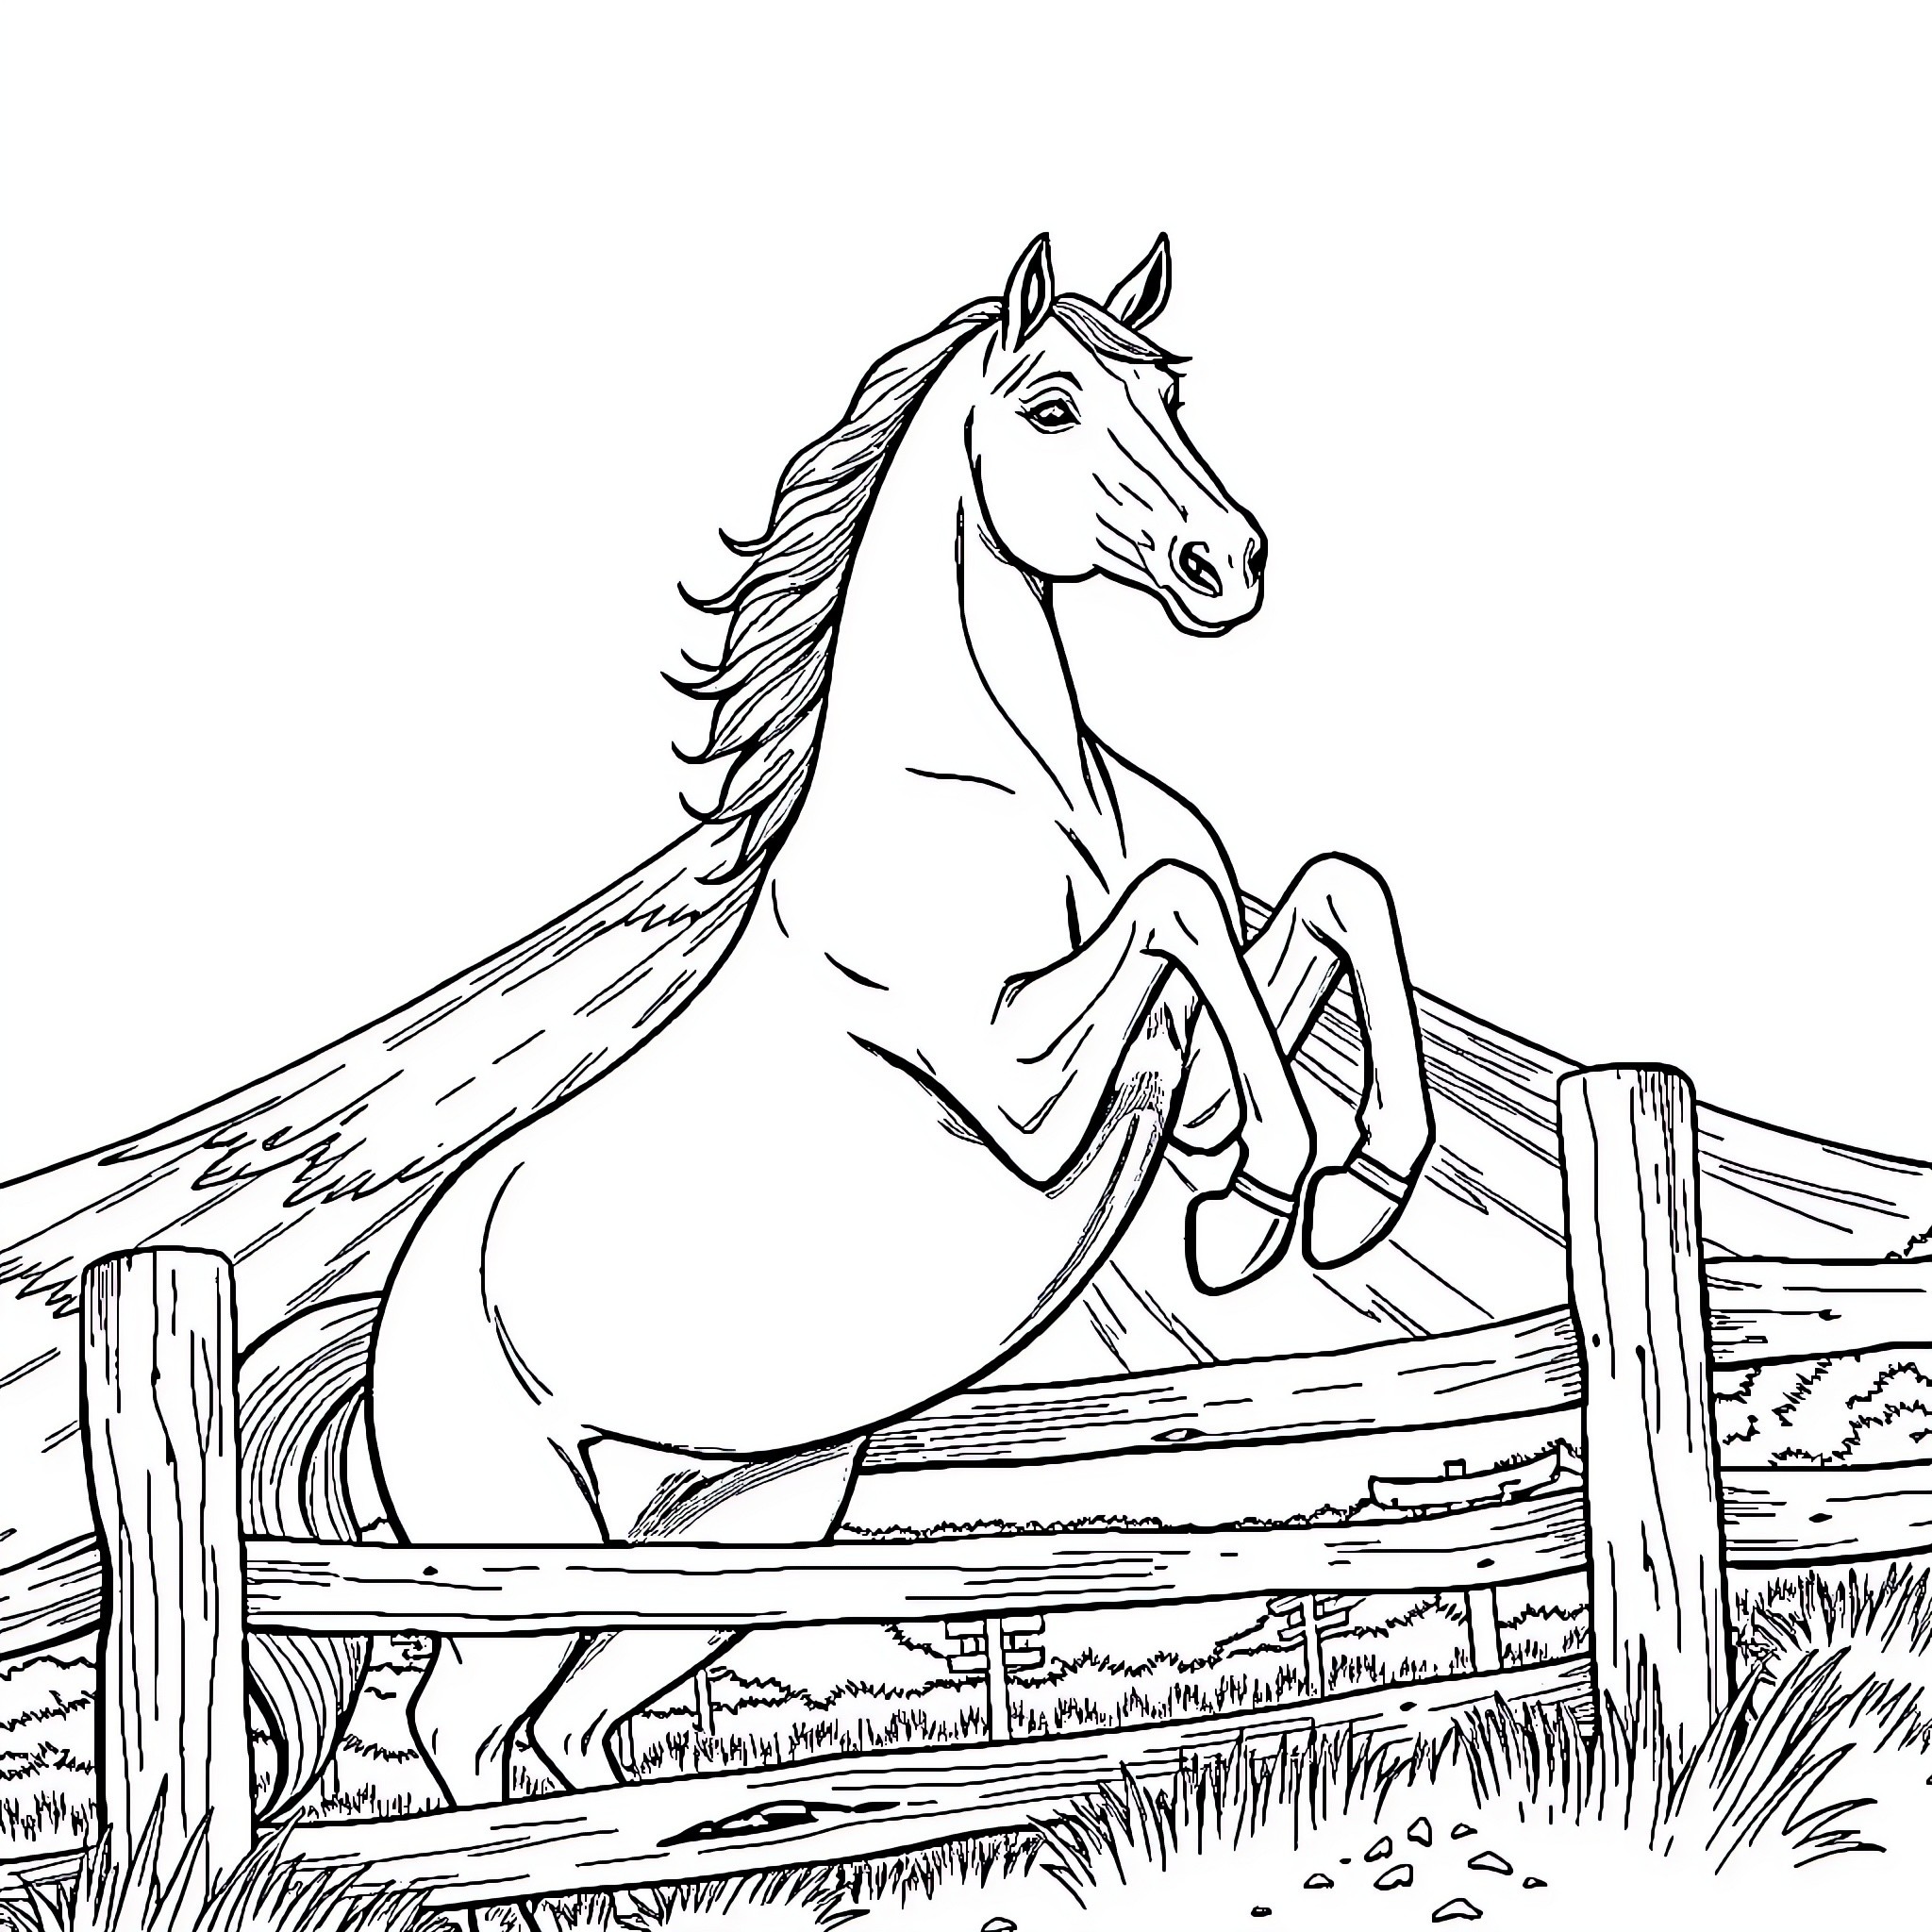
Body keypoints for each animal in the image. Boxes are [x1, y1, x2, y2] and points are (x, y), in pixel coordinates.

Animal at [349, 233, 1432, 1902]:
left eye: (1172, 395)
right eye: (1050, 407)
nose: (1228, 565)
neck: (1020, 798)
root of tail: (389, 1331)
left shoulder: (1166, 1040)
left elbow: (1328, 892)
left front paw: (1327, 1194)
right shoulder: (1022, 1091)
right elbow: (1191, 913)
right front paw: (1269, 1185)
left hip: (728, 1536)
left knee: (582, 1740)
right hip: (516, 1566)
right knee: (461, 1744)